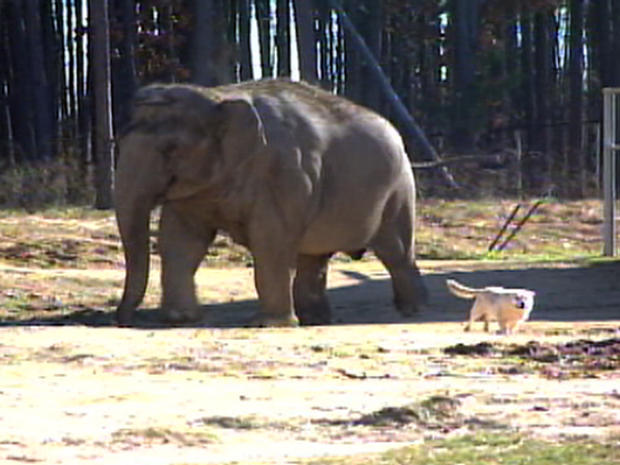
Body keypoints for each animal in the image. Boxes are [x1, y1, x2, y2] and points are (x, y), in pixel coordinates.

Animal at [115, 78, 426, 326]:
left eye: (170, 150)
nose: (123, 319)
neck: (219, 96)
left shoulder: (286, 172)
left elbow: (270, 239)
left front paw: (267, 324)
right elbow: (180, 240)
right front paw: (180, 319)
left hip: (399, 190)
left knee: (396, 251)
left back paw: (412, 311)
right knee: (314, 256)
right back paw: (315, 319)